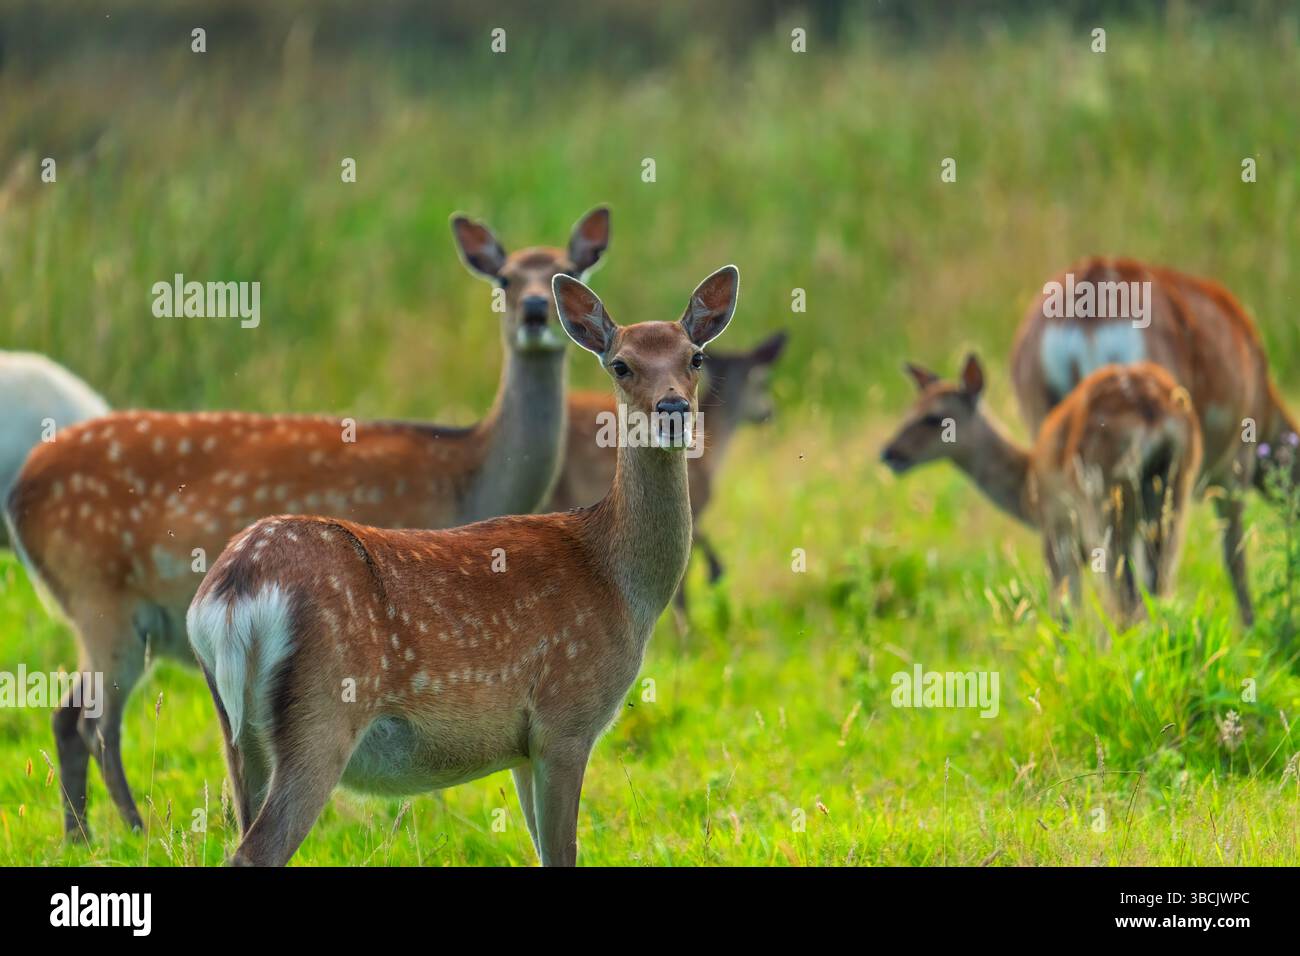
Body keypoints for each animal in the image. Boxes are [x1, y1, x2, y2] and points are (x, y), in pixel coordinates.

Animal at [185, 265, 740, 867]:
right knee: (255, 849)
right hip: (322, 711)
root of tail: (232, 590)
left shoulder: (523, 748)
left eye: (695, 357)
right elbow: (563, 853)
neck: (619, 580)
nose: (673, 412)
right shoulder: (565, 718)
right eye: (621, 364)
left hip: (238, 730)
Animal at [881, 355, 1203, 623]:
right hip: (1173, 493)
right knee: (1158, 586)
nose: (889, 453)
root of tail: (1150, 410)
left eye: (933, 417)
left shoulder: (1056, 533)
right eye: (910, 409)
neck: (1027, 491)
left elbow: (1065, 610)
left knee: (1124, 596)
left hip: (1104, 501)